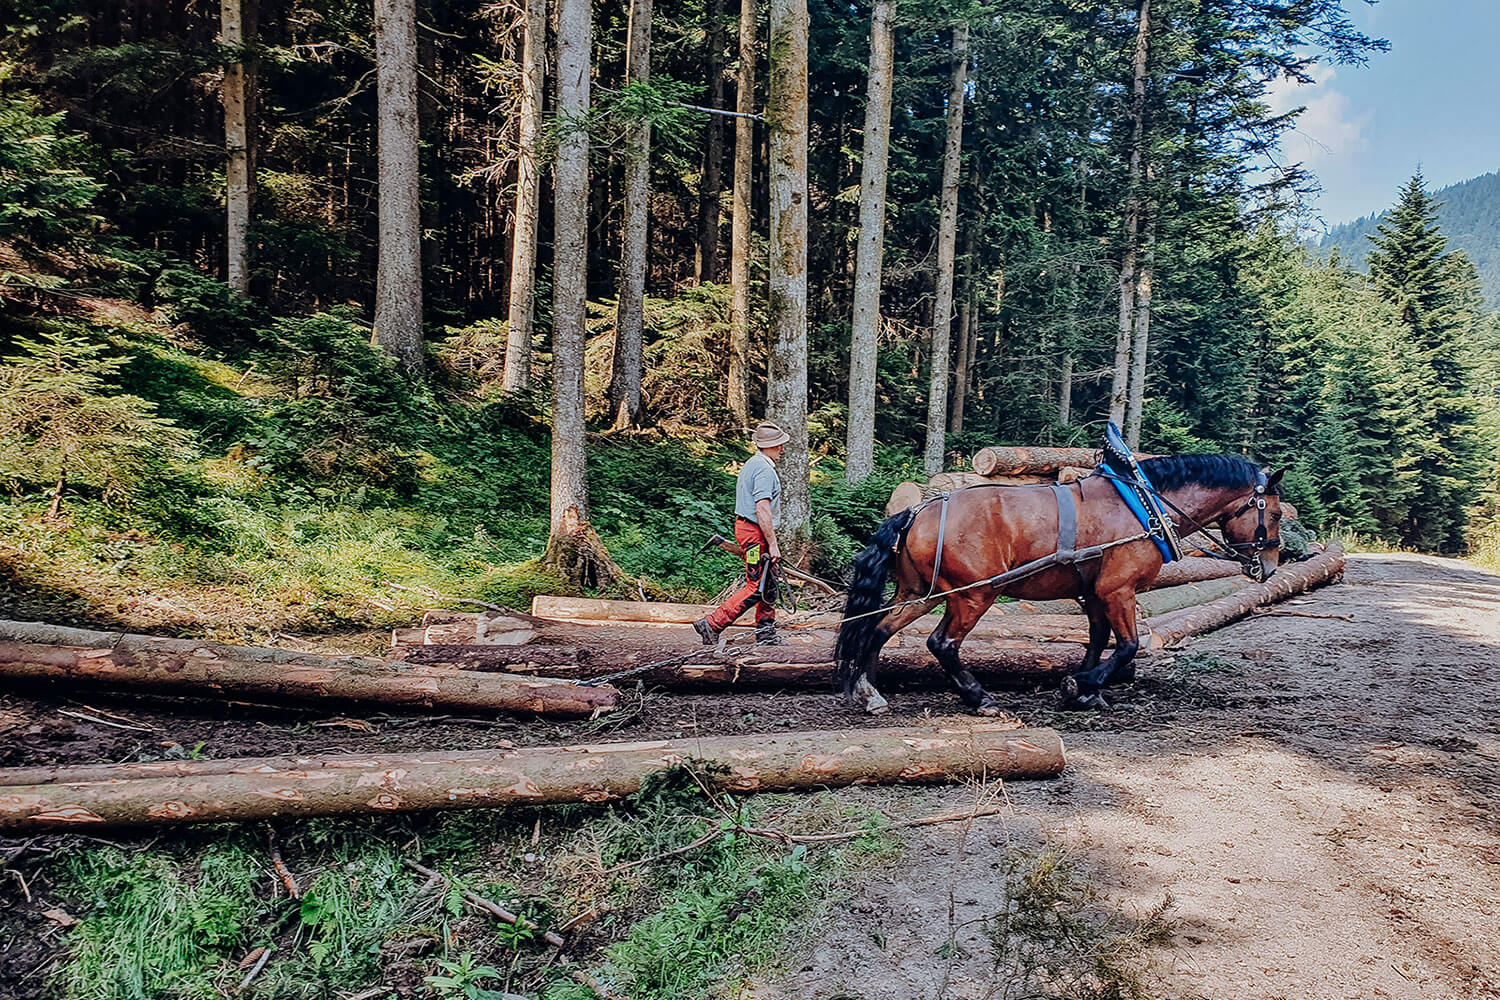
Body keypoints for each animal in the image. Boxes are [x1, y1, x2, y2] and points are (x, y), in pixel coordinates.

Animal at [833, 455, 1284, 714]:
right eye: (1277, 514)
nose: (1269, 567)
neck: (1144, 509)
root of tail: (916, 510)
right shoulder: (1118, 590)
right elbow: (1128, 645)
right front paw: (1080, 685)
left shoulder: (1095, 593)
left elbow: (1098, 639)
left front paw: (1089, 690)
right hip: (974, 594)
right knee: (941, 644)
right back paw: (980, 699)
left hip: (921, 593)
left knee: (877, 630)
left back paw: (870, 692)